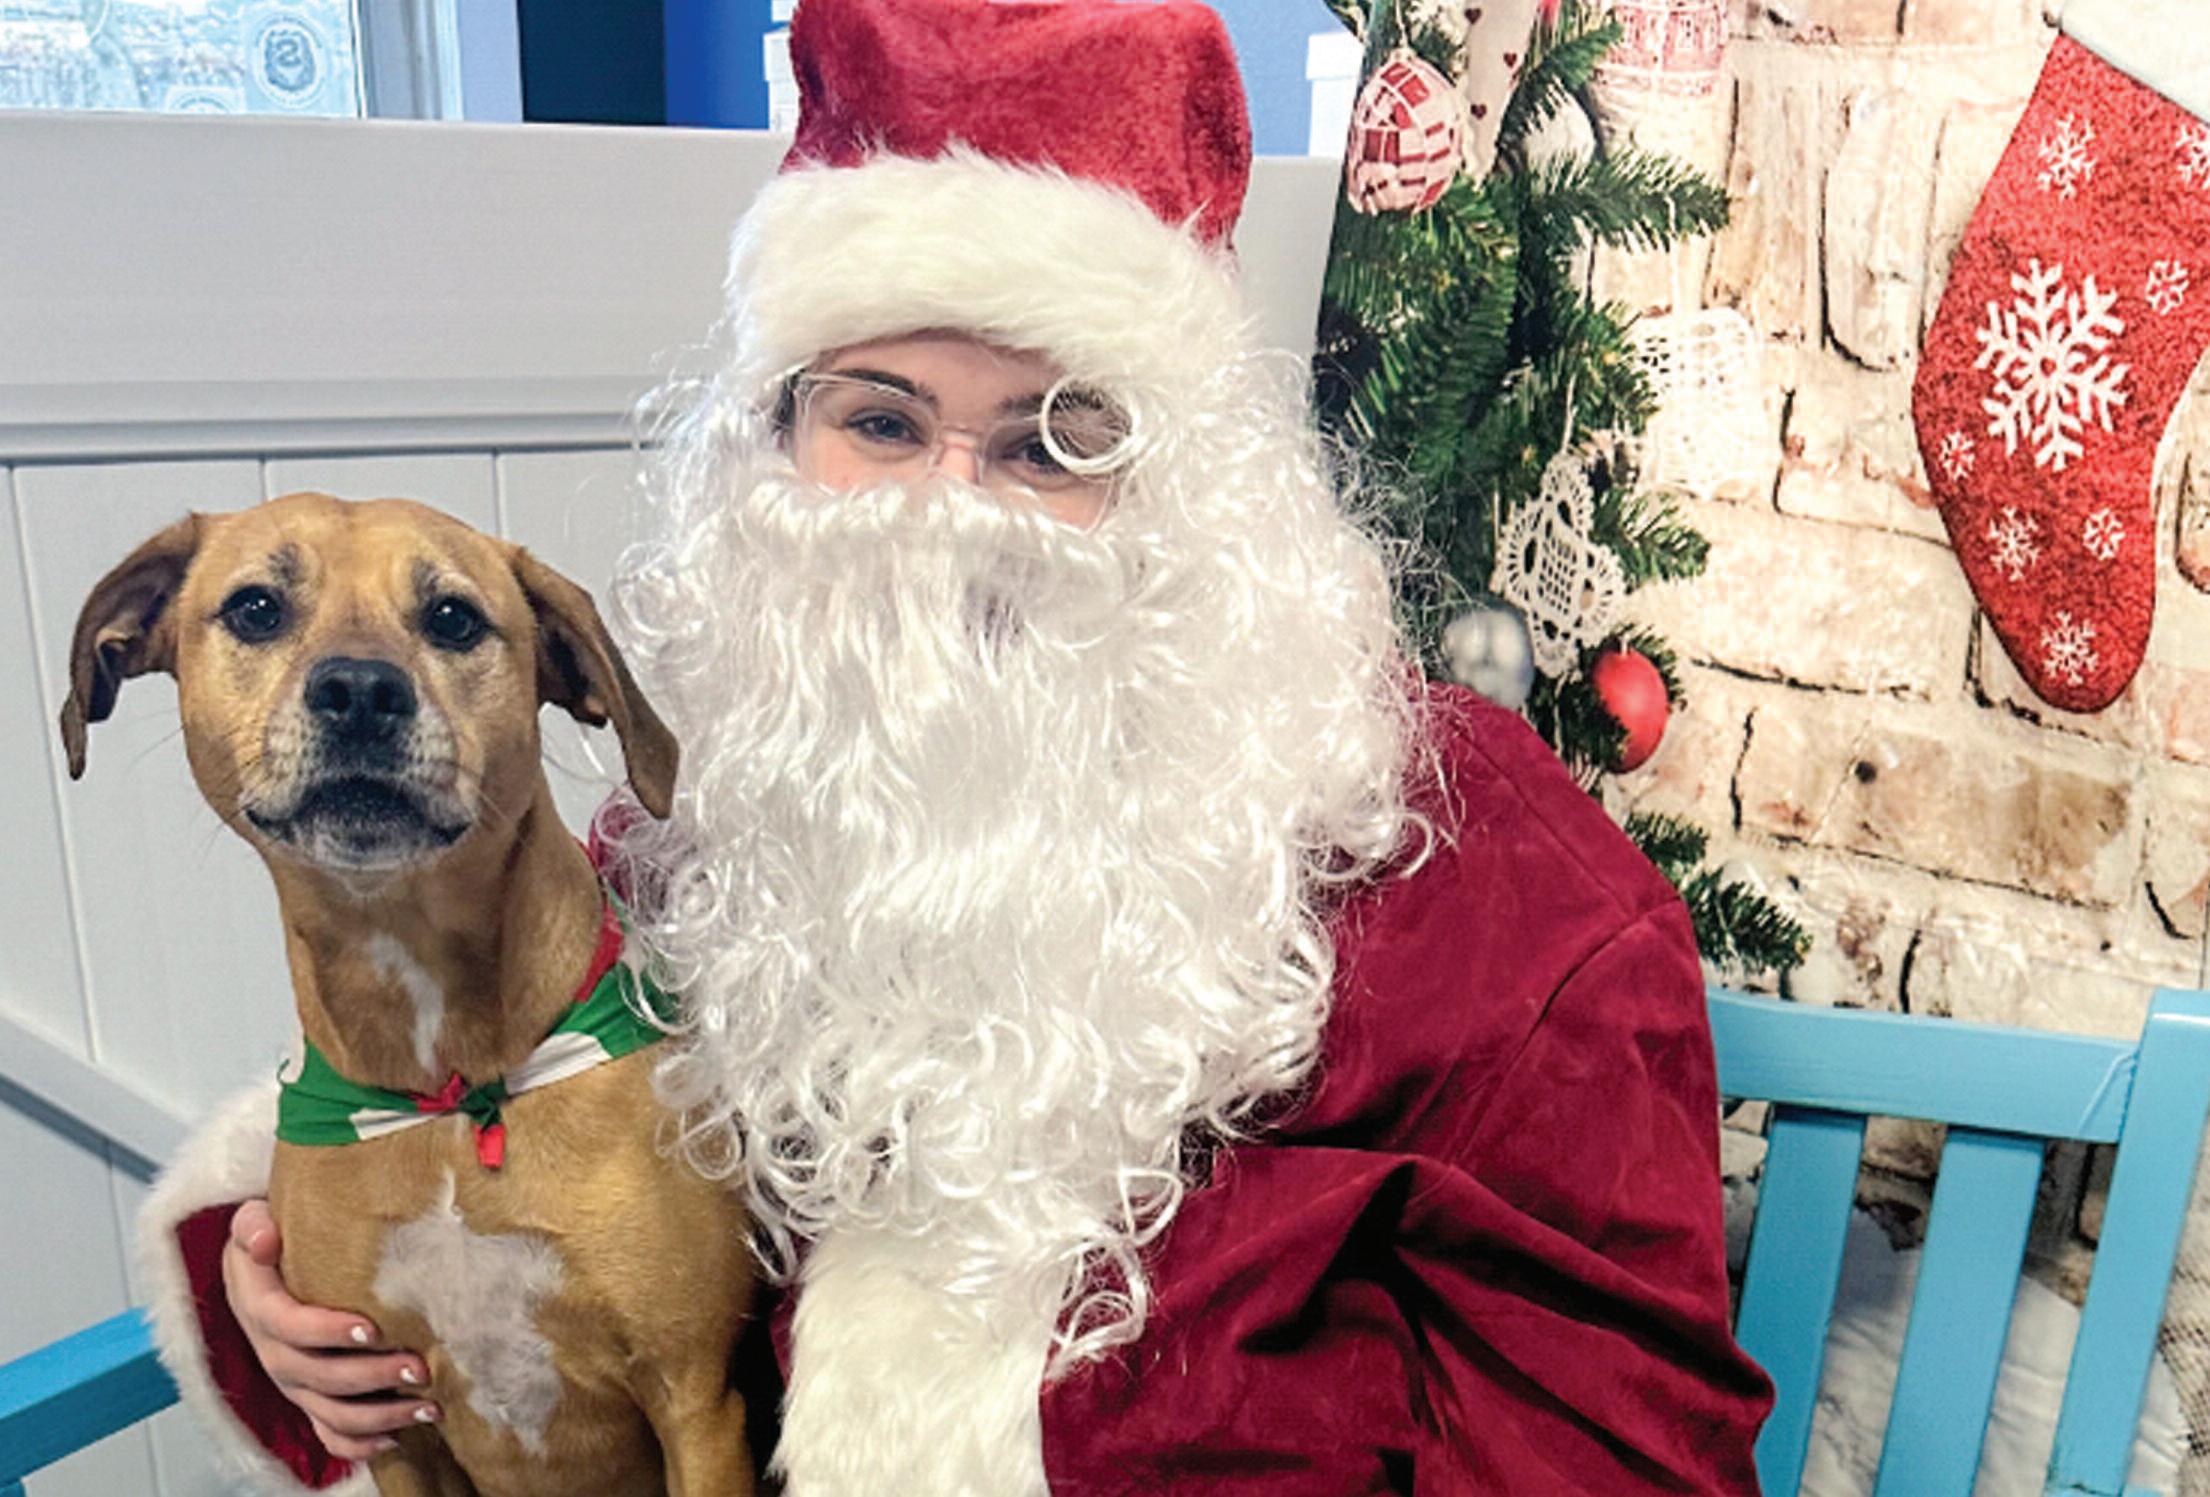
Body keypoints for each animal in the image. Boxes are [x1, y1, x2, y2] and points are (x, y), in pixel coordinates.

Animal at [61, 492, 755, 1497]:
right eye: (256, 608)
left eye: (454, 618)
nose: (359, 689)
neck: (450, 1095)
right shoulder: (388, 1419)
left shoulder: (695, 1399)